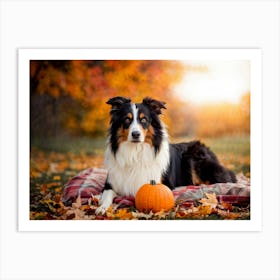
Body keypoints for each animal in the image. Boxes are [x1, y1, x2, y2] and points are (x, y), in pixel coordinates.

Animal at [95, 96, 236, 214]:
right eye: (127, 119)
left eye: (144, 120)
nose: (136, 134)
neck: (135, 151)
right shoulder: (110, 183)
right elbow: (106, 195)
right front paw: (102, 207)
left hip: (193, 157)